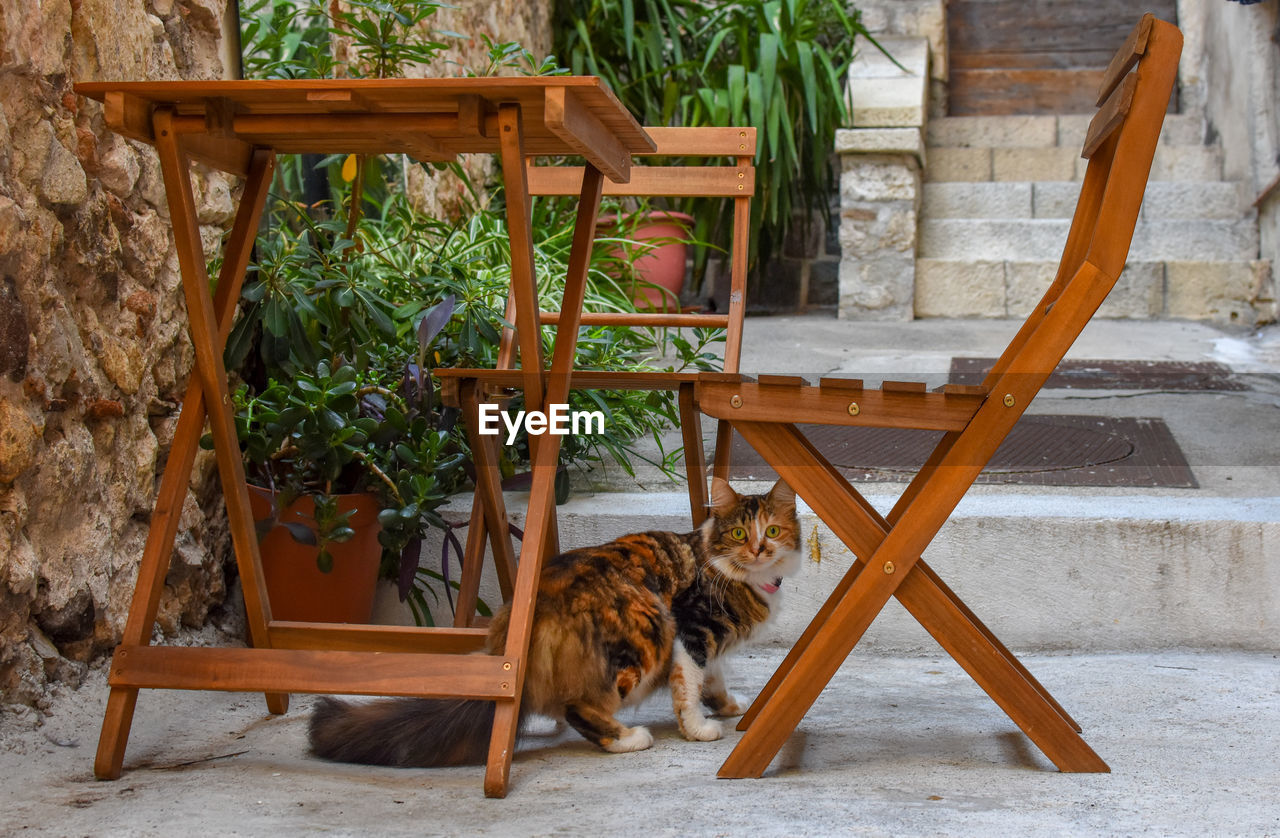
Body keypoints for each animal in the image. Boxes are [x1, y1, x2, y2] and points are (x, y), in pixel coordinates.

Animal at [308, 478, 798, 767]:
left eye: (772, 531)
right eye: (740, 533)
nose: (759, 549)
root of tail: (528, 618)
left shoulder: (707, 646)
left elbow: (713, 680)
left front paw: (728, 705)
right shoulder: (691, 629)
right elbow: (688, 687)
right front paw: (699, 729)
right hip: (648, 628)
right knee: (579, 707)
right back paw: (629, 738)